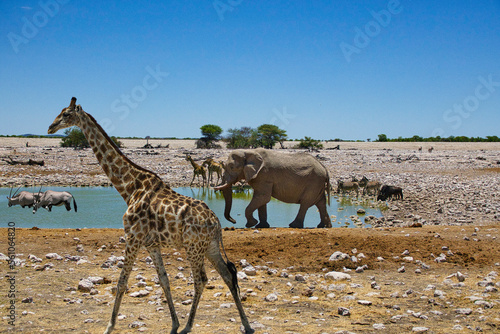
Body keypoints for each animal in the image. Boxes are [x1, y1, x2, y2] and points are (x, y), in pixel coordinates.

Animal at [47, 98, 254, 334]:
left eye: (66, 114)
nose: (50, 127)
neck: (129, 187)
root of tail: (217, 223)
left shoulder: (133, 237)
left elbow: (122, 282)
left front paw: (109, 326)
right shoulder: (151, 244)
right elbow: (163, 281)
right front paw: (173, 324)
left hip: (193, 247)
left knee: (201, 279)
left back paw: (189, 326)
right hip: (209, 246)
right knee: (227, 275)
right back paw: (246, 325)